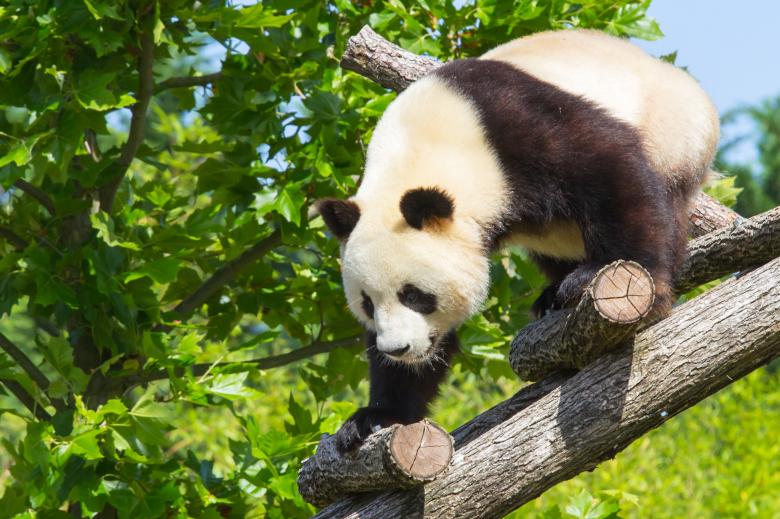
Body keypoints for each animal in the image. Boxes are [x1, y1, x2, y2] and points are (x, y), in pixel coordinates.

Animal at [315, 29, 719, 452]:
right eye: (367, 303)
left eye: (414, 295)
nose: (398, 350)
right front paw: (376, 416)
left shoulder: (515, 127)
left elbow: (610, 165)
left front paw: (635, 279)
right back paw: (553, 293)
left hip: (674, 132)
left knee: (665, 203)